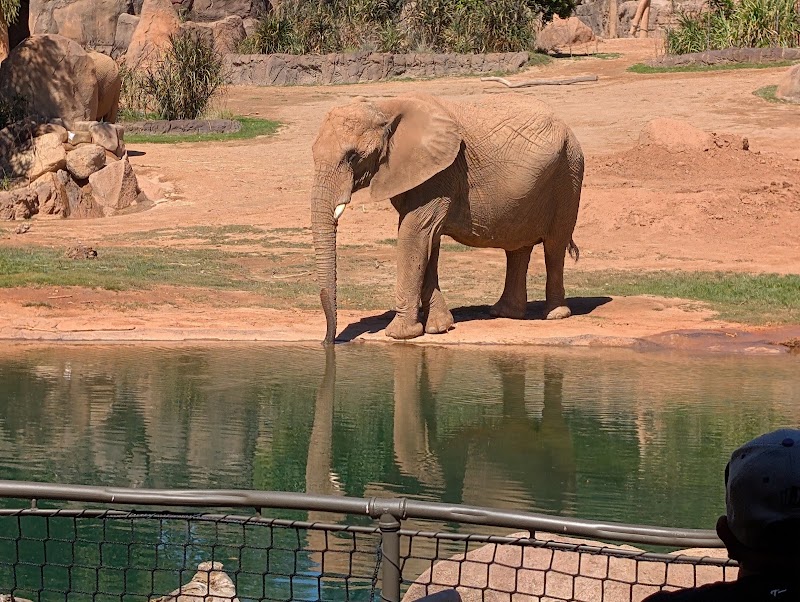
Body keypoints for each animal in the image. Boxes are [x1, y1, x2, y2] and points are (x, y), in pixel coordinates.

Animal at [310, 93, 583, 343]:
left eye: (353, 156)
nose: (328, 342)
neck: (385, 106)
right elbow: (428, 241)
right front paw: (439, 327)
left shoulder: (441, 172)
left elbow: (413, 233)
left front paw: (400, 335)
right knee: (517, 248)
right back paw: (504, 313)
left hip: (568, 173)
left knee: (554, 246)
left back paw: (555, 314)